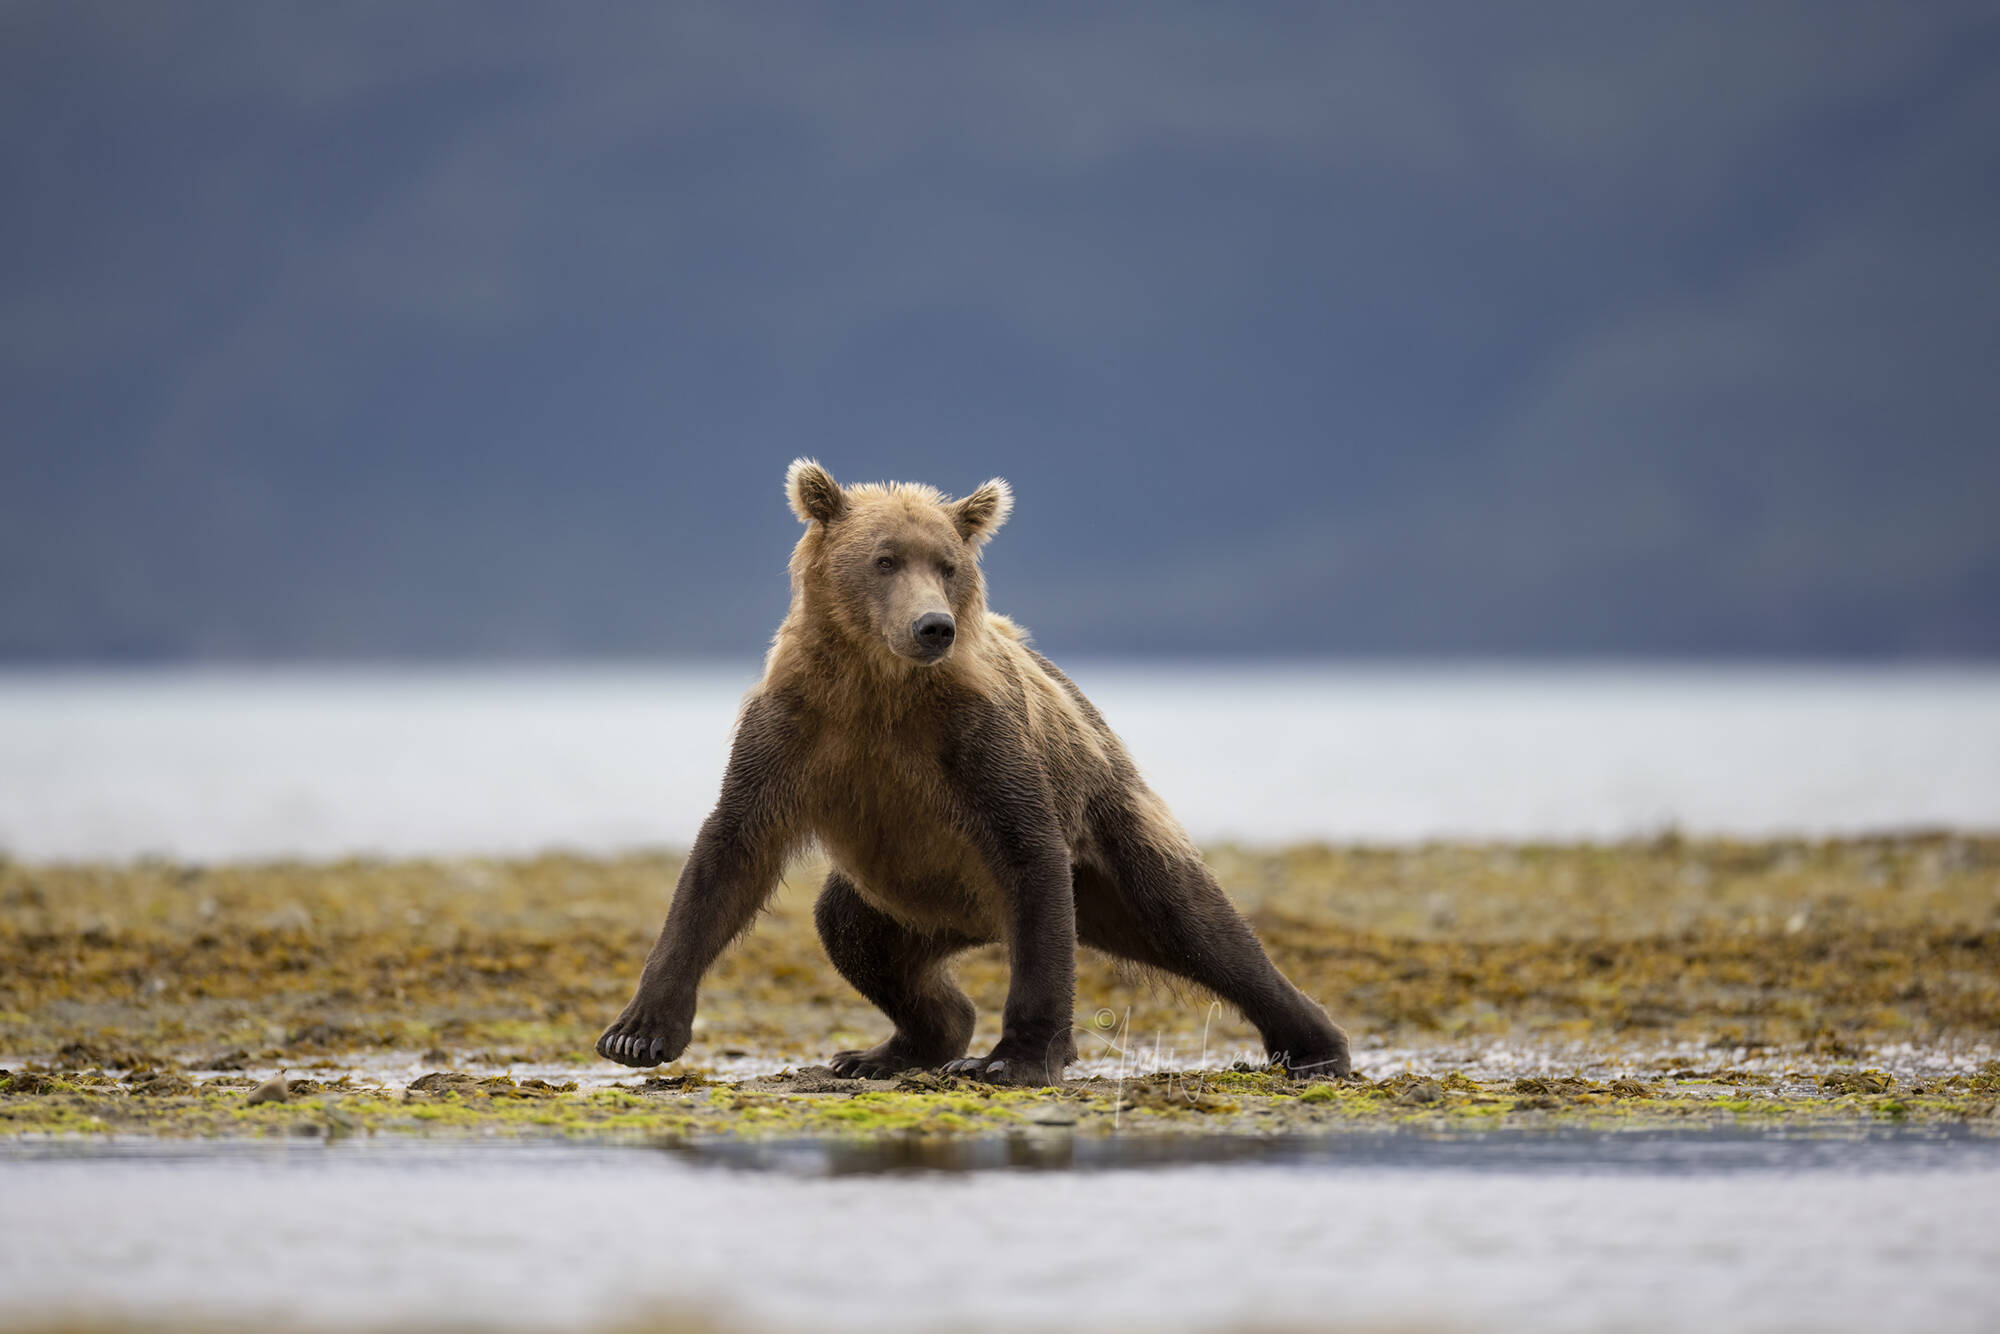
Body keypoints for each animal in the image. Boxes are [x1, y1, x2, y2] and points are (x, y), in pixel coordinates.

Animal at [596, 460, 1352, 1085]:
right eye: (884, 560)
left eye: (948, 565)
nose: (933, 626)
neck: (879, 687)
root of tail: (975, 920)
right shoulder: (797, 731)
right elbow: (728, 854)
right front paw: (637, 1034)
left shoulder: (975, 742)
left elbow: (1029, 850)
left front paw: (1015, 1059)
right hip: (908, 894)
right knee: (854, 935)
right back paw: (884, 1050)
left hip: (1105, 846)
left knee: (1196, 926)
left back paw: (1315, 1045)